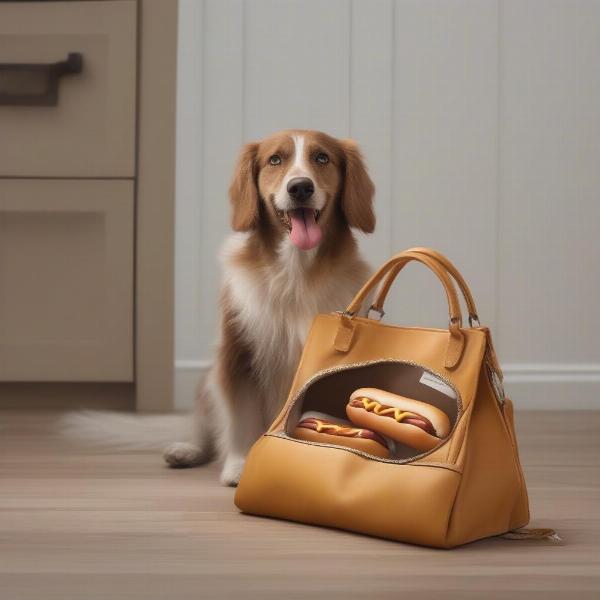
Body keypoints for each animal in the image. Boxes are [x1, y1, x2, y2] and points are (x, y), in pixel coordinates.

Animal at [162, 129, 372, 486]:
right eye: (275, 159)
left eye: (322, 157)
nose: (300, 187)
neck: (296, 272)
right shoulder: (238, 354)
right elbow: (240, 417)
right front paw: (239, 466)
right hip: (208, 382)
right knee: (204, 429)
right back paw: (185, 450)